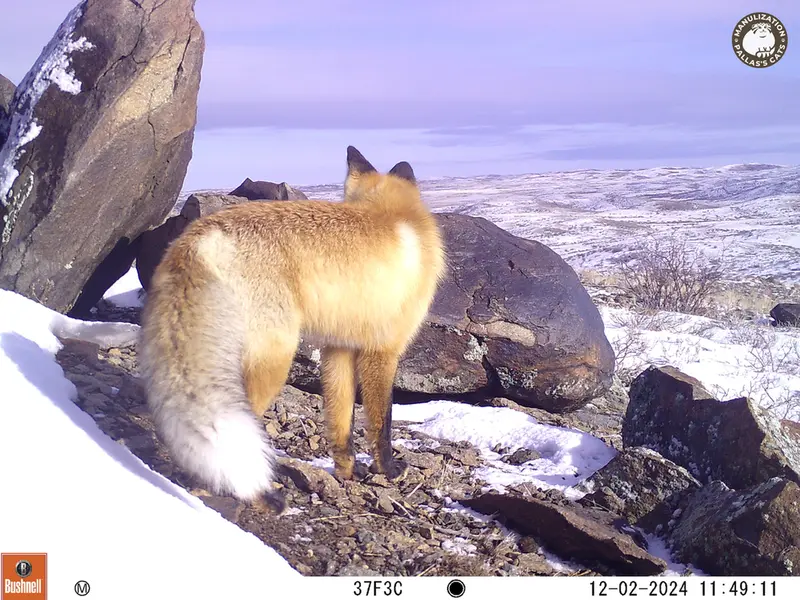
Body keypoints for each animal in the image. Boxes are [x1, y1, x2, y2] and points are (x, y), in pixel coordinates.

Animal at [138, 146, 446, 511]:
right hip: (275, 360)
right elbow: (381, 423)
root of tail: (202, 235)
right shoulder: (382, 350)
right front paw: (389, 469)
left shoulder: (338, 348)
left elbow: (341, 422)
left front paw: (346, 472)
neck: (397, 217)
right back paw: (253, 495)